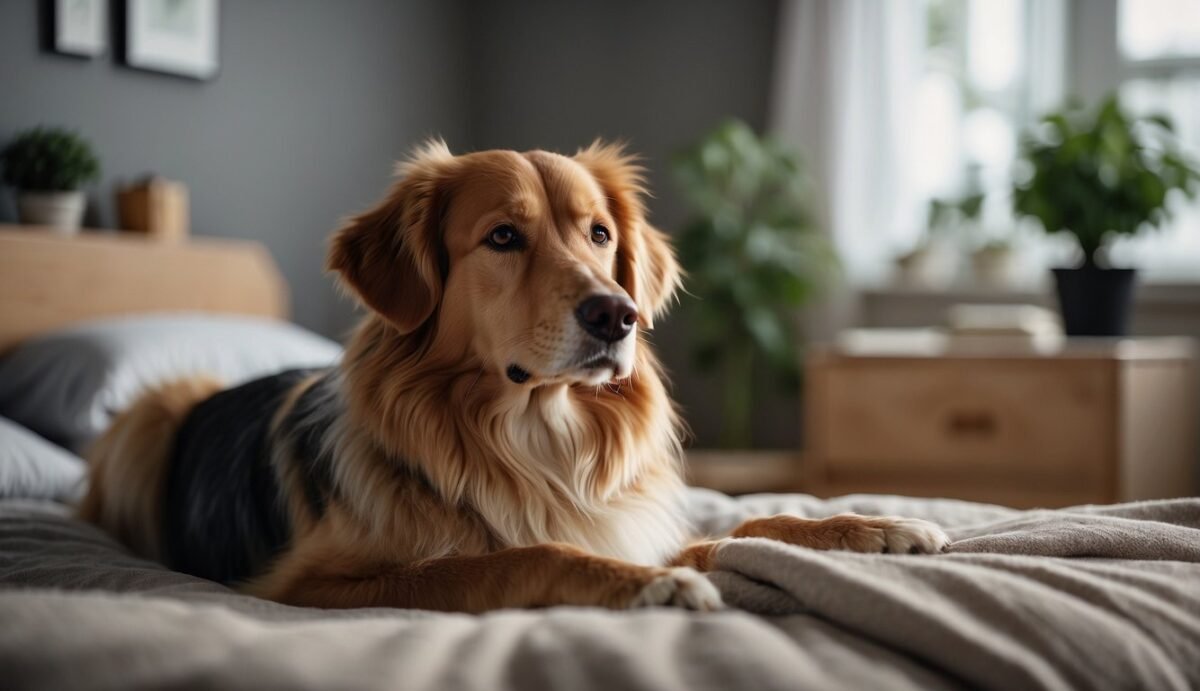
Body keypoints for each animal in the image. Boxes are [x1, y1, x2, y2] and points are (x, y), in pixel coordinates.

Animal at [79, 139, 950, 609]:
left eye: (599, 234)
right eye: (502, 236)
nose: (617, 315)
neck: (538, 433)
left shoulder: (632, 517)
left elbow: (747, 525)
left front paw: (871, 527)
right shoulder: (308, 586)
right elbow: (517, 555)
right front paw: (643, 585)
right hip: (151, 413)